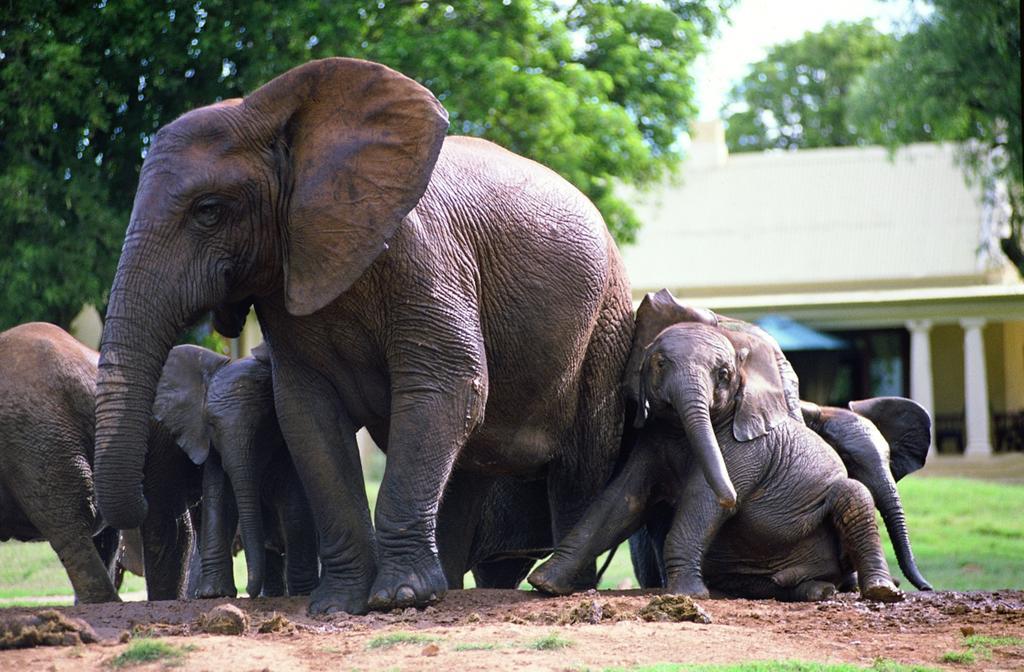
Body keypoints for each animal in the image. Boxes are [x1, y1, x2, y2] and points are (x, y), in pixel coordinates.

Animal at [153, 344, 315, 594]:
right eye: (211, 424)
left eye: (266, 422)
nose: (248, 591)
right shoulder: (212, 450)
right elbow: (218, 498)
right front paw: (212, 594)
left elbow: (294, 504)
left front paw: (304, 592)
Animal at [528, 295, 921, 602]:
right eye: (659, 364)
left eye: (724, 375)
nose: (734, 500)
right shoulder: (654, 439)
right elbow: (624, 499)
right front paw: (545, 584)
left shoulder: (743, 448)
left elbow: (701, 500)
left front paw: (686, 595)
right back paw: (813, 591)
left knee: (853, 495)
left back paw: (880, 591)